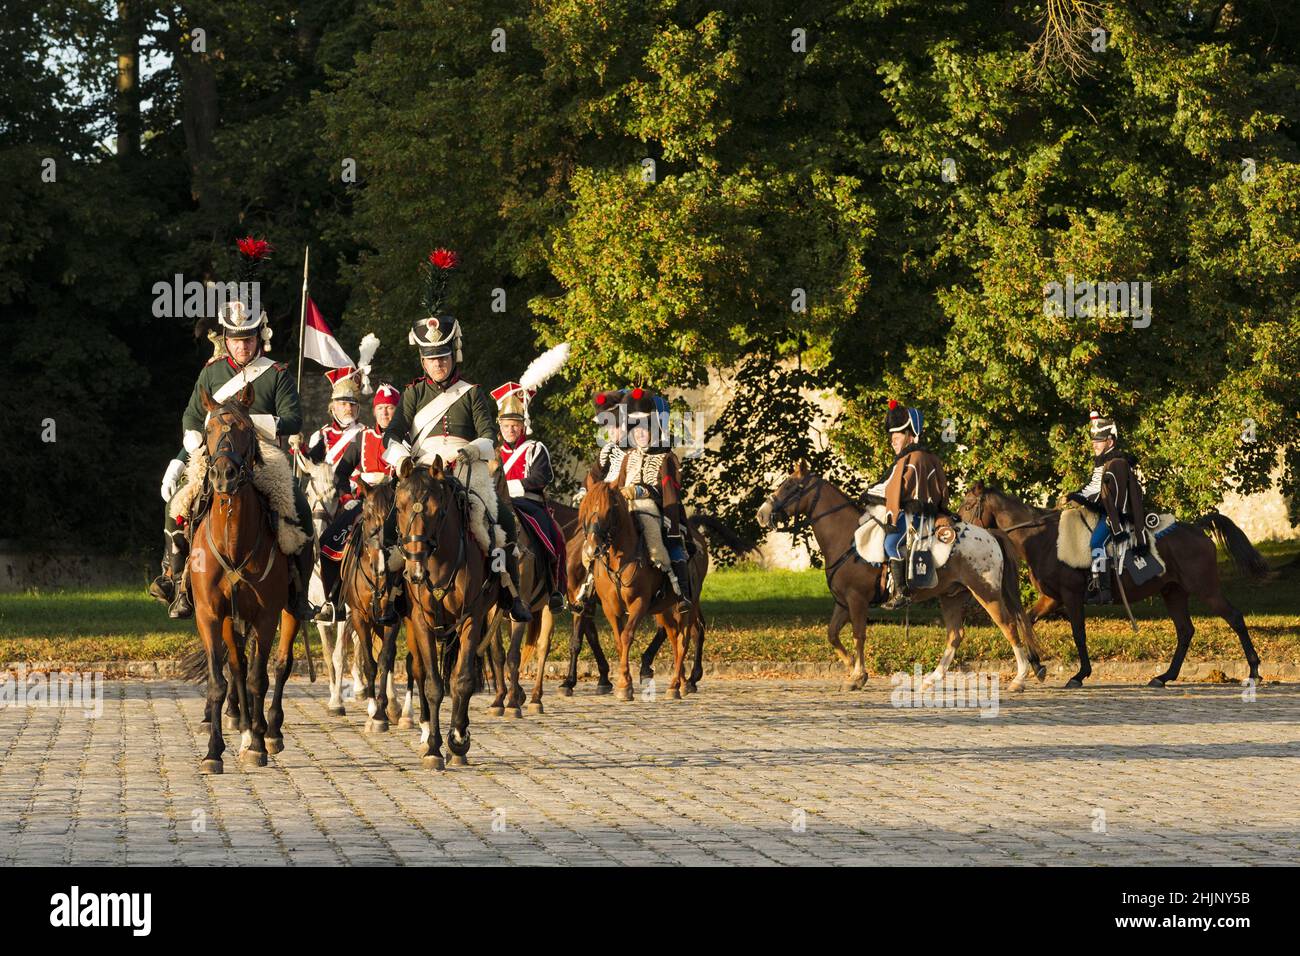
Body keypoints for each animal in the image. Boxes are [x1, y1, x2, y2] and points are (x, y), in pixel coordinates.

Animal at [189, 385, 299, 775]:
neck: (233, 541)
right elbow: (220, 681)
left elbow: (258, 678)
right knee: (236, 667)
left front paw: (257, 745)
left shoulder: (266, 617)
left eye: (245, 429)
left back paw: (268, 730)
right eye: (209, 430)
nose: (224, 474)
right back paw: (247, 725)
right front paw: (213, 751)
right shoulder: (210, 615)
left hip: (291, 612)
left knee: (278, 666)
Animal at [392, 457, 493, 770]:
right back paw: (425, 731)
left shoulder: (472, 617)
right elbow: (433, 684)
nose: (415, 572)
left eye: (437, 510)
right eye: (399, 506)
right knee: (419, 670)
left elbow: (463, 680)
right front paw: (434, 748)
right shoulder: (421, 622)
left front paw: (458, 739)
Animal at [754, 463, 1045, 686]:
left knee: (1009, 626)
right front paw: (851, 666)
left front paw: (858, 675)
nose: (761, 514)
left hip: (986, 593)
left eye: (790, 487)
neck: (847, 537)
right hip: (952, 596)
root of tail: (990, 535)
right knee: (956, 635)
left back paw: (1020, 678)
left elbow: (858, 635)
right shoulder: (843, 603)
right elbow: (833, 634)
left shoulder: (857, 601)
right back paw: (932, 678)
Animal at [956, 486, 1268, 686]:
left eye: (969, 506)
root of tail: (1197, 528)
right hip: (1173, 592)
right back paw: (1164, 677)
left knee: (1234, 618)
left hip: (1206, 589)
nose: (957, 531)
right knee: (1185, 631)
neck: (1044, 539)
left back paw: (1253, 670)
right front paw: (1037, 665)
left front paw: (1079, 674)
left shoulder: (1071, 596)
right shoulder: (1051, 598)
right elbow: (1028, 622)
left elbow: (1078, 634)